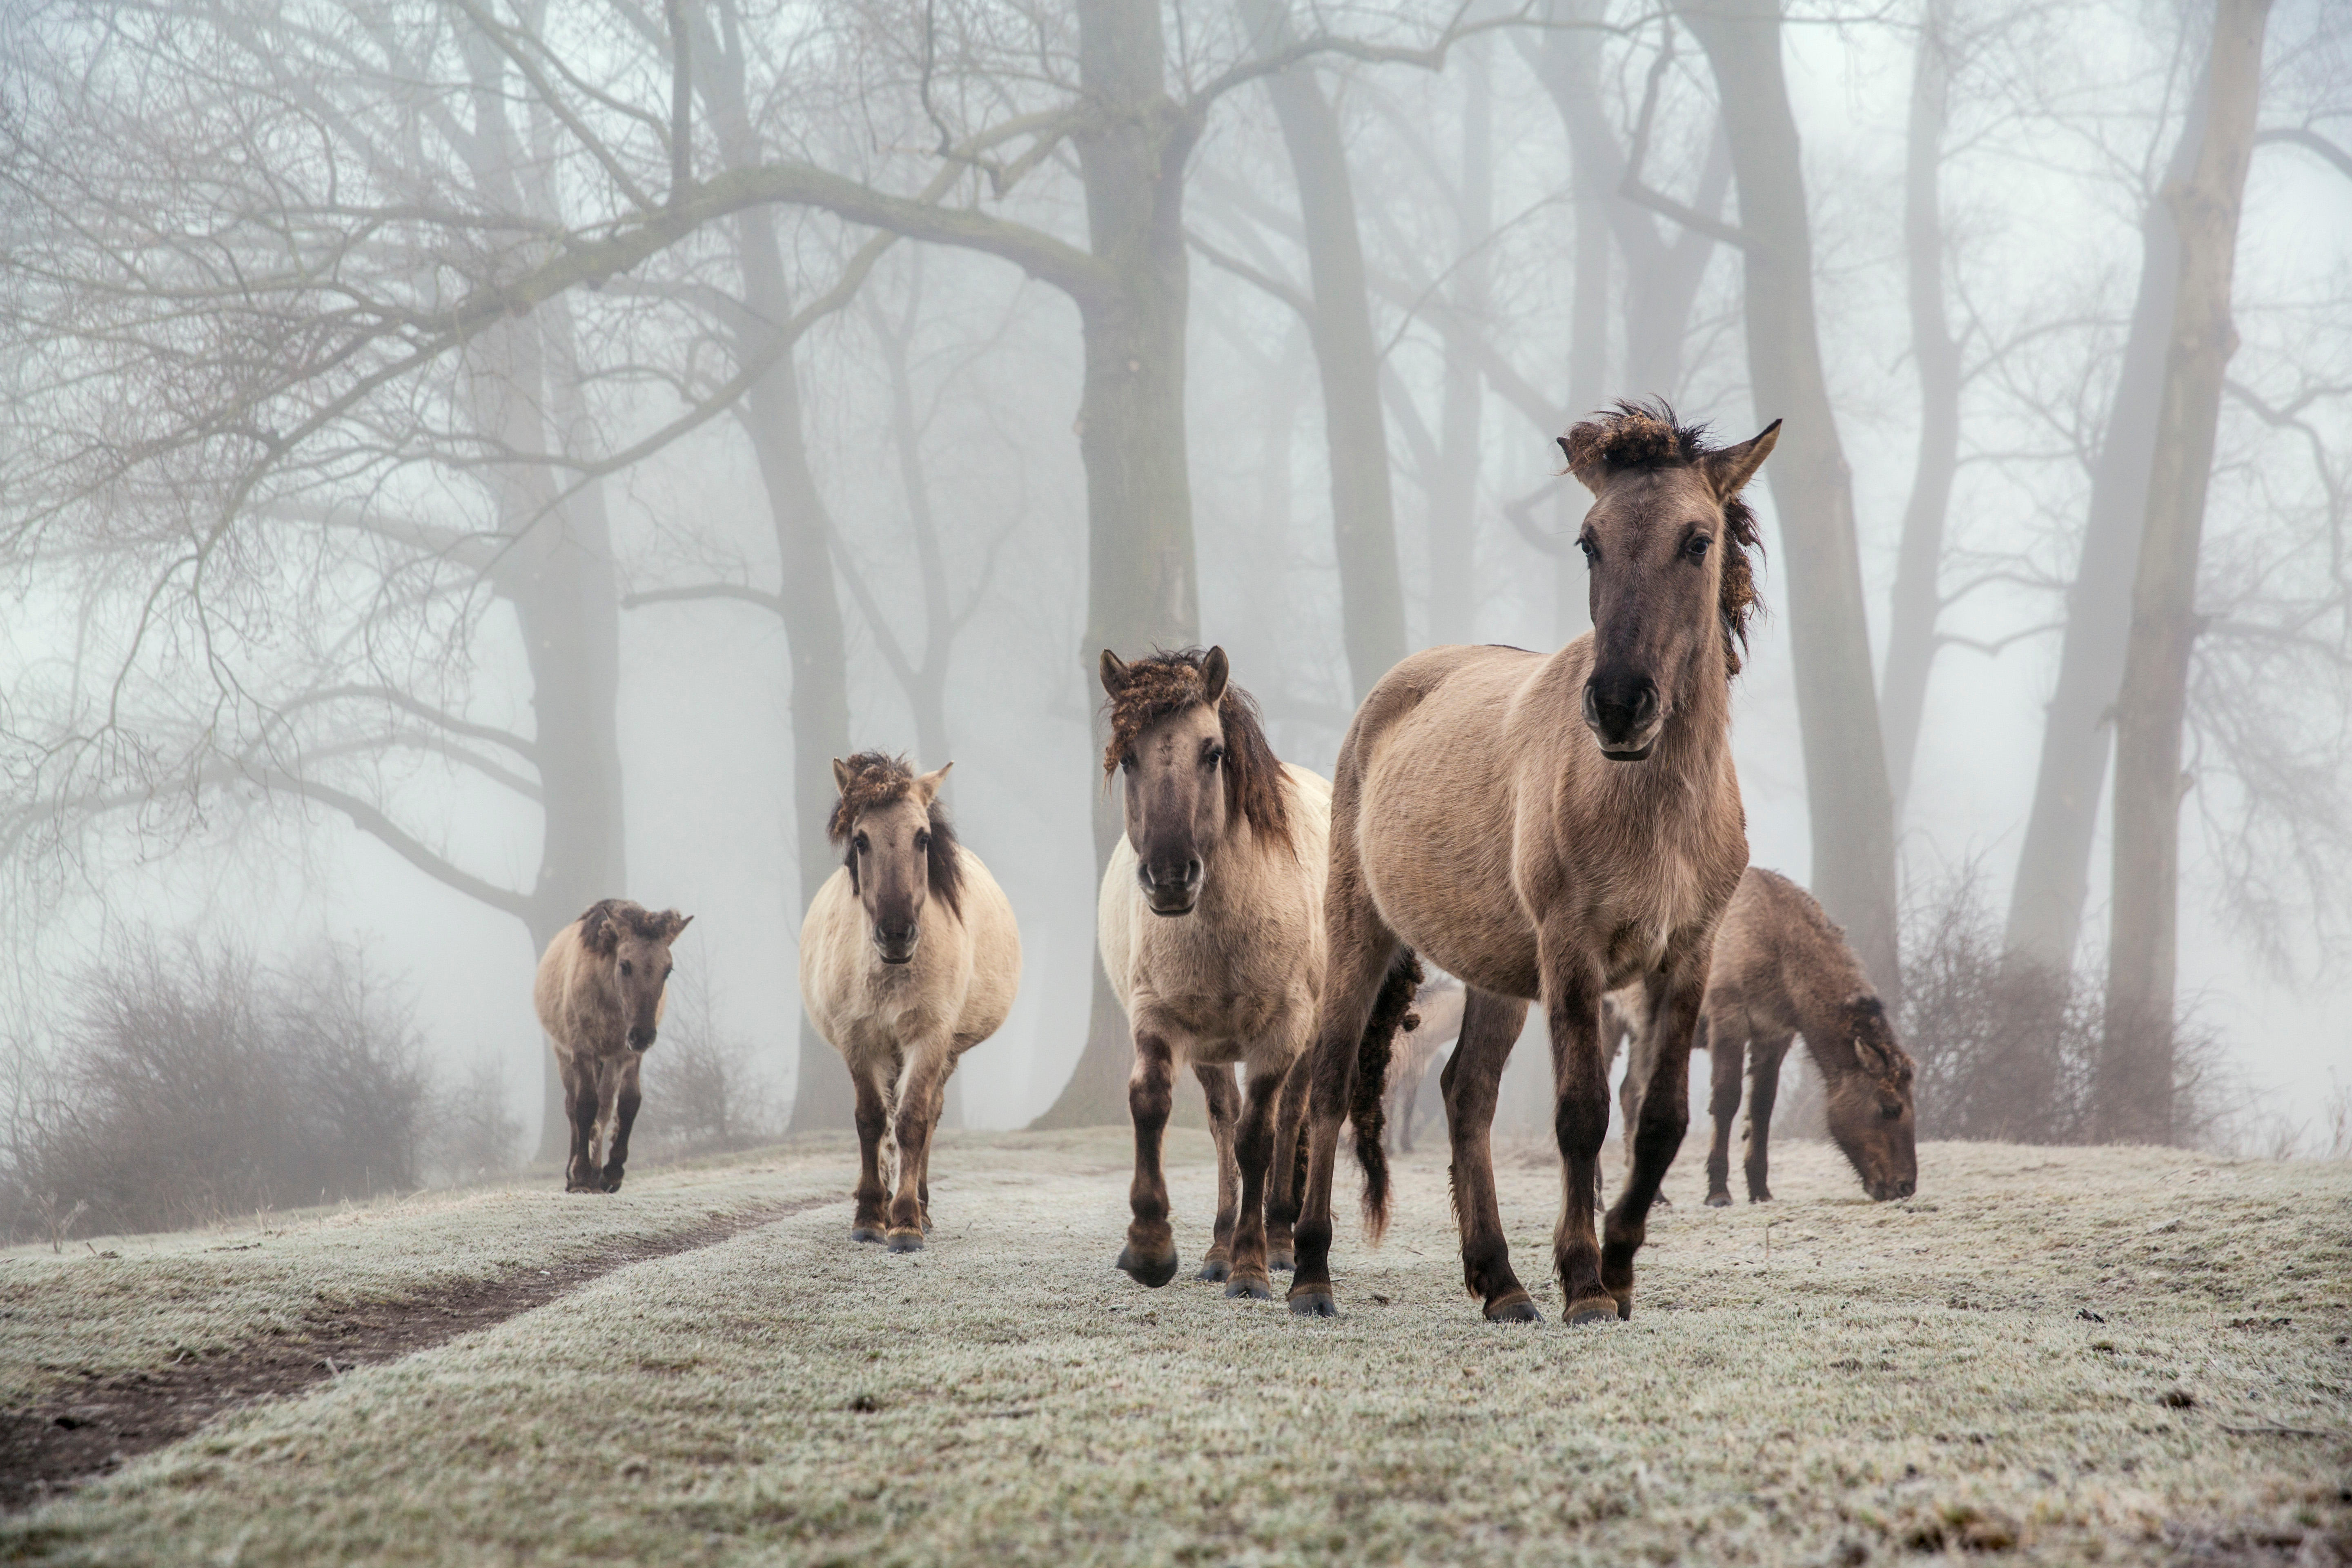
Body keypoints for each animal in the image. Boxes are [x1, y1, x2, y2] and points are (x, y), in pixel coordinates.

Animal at [541, 902, 696, 1194]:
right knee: (572, 1106)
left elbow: (627, 1104)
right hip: (564, 1054)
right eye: (625, 966)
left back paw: (597, 1172)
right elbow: (584, 1105)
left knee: (604, 1107)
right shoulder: (582, 1051)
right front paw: (580, 1175)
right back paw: (575, 1173)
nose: (643, 1035)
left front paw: (612, 1173)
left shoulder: (625, 1055)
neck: (609, 998)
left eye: (668, 970)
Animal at [800, 752, 1020, 1260]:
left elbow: (913, 1122)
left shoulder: (930, 1037)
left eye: (923, 838)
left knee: (928, 1114)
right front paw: (868, 1216)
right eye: (860, 840)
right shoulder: (859, 1041)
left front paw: (904, 1223)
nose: (897, 934)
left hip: (945, 1051)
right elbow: (871, 1120)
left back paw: (919, 1205)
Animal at [1091, 639, 1401, 1297]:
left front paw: (1253, 1267)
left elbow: (1259, 1137)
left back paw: (1279, 1243)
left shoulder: (1280, 1030)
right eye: (1127, 758)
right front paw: (1152, 1248)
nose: (1170, 877)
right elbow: (1154, 1105)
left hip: (1307, 1037)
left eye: (1213, 753)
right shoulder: (1159, 1018)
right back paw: (1217, 1247)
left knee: (1288, 1118)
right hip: (1211, 1049)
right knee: (1221, 1123)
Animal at [1289, 404, 1778, 1326]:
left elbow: (1660, 1122)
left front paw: (1618, 1271)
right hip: (1360, 932)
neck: (1649, 805)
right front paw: (1585, 1283)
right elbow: (1582, 1114)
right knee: (1328, 1083)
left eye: (1698, 541)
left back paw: (1502, 1284)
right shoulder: (1572, 953)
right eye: (1590, 542)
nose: (1619, 706)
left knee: (1466, 1094)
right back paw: (1307, 1273)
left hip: (1497, 972)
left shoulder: (1685, 959)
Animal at [1608, 865, 1919, 1213]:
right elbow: (1727, 1100)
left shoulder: (1774, 1034)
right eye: (1890, 1108)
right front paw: (1718, 1191)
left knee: (1629, 1092)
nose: (1905, 1186)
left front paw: (1760, 1189)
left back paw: (1653, 1195)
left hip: (1638, 1029)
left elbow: (1762, 1107)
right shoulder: (1727, 1018)